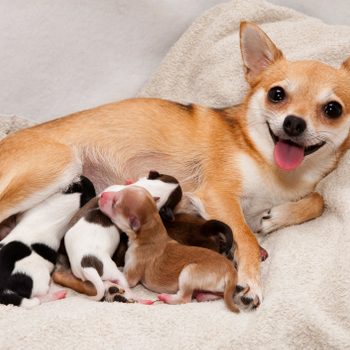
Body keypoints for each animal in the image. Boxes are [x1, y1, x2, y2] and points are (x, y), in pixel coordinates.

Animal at [98, 187, 241, 314]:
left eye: (115, 203)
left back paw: (166, 297)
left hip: (189, 272)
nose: (102, 195)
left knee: (185, 298)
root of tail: (231, 271)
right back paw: (203, 295)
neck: (151, 230)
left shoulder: (132, 272)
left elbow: (121, 277)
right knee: (220, 294)